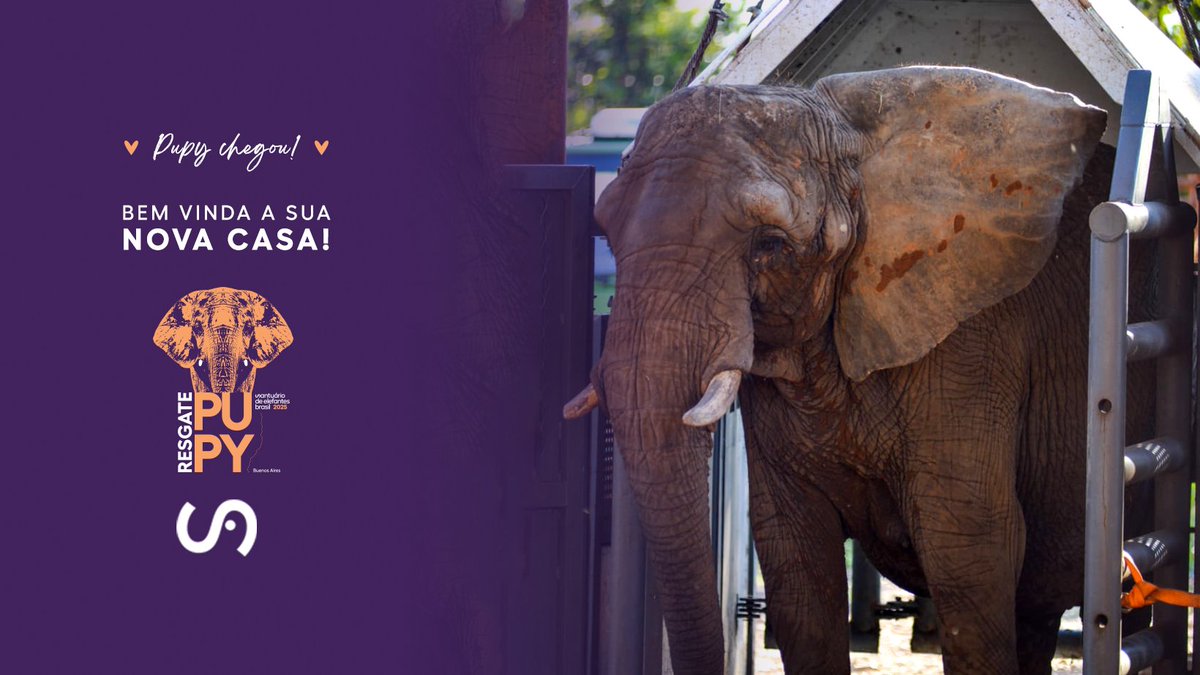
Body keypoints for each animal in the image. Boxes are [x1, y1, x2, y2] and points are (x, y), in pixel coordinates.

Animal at [562, 66, 1160, 674]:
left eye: (770, 244)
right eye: (605, 233)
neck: (854, 140)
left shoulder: (973, 344)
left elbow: (968, 551)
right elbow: (797, 565)